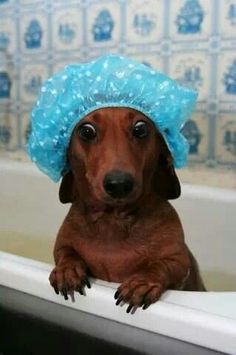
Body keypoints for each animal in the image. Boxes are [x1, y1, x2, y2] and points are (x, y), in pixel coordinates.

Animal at [48, 107, 206, 312]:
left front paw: (143, 282)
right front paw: (67, 270)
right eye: (86, 131)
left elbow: (160, 266)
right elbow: (66, 253)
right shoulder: (62, 245)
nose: (119, 184)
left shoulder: (178, 261)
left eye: (140, 128)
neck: (112, 220)